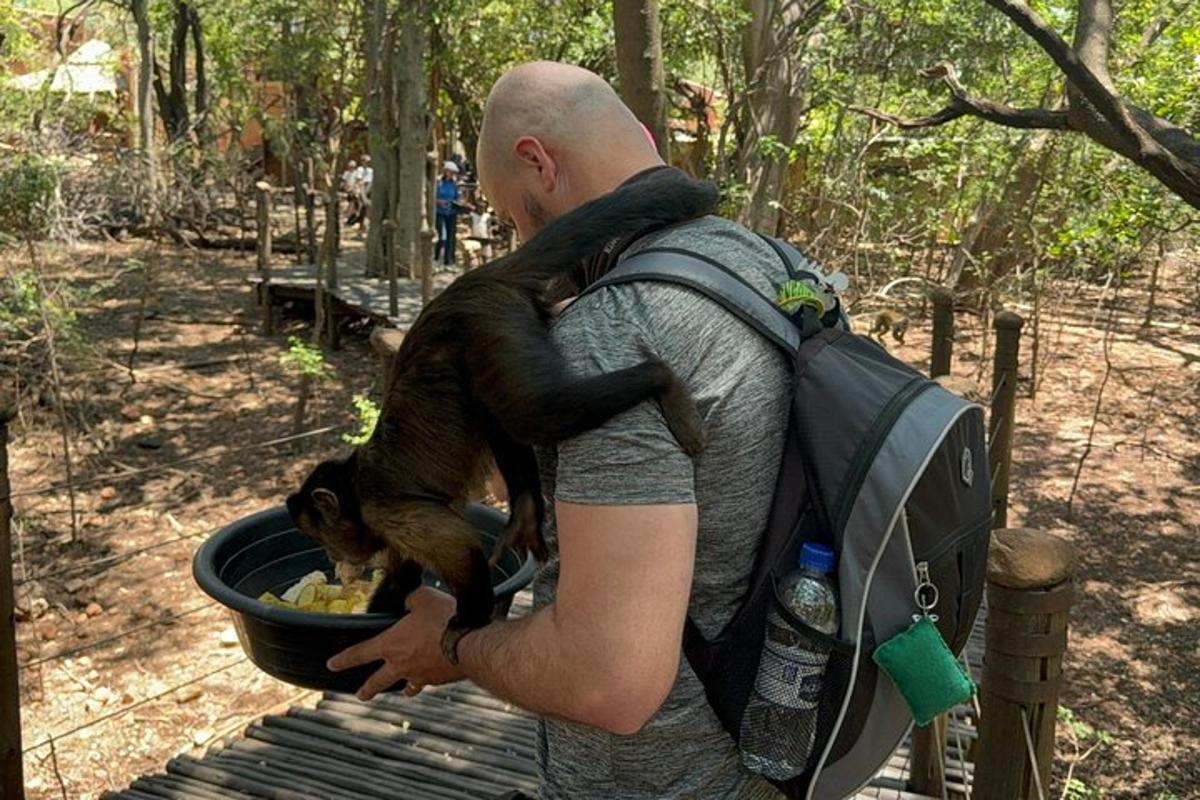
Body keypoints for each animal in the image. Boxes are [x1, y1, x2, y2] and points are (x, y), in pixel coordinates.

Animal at [283, 167, 710, 662]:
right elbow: (404, 577)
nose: (335, 560)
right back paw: (525, 511)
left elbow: (458, 548)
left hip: (491, 320)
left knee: (532, 414)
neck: (354, 486)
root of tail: (475, 278)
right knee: (498, 412)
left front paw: (464, 621)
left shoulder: (384, 509)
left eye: (320, 536)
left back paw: (660, 378)